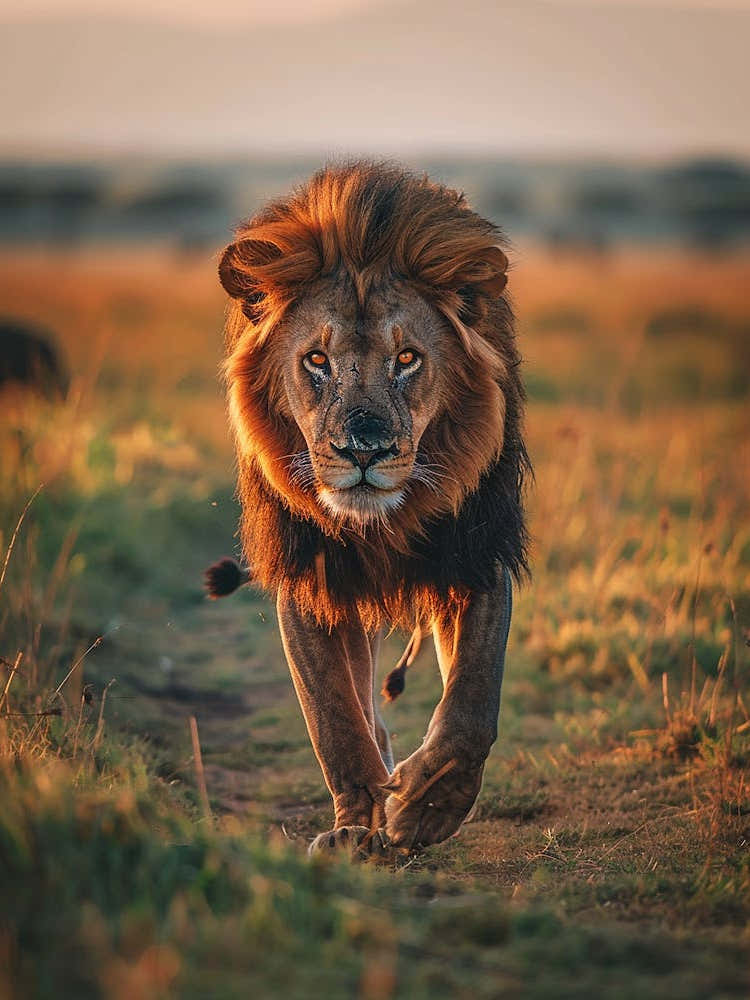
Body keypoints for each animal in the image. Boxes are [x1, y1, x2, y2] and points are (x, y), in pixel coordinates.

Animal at [211, 161, 529, 858]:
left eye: (406, 358)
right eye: (317, 360)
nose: (364, 449)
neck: (383, 524)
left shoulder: (477, 556)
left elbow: (472, 706)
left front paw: (425, 809)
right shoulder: (311, 578)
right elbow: (335, 717)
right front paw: (356, 828)